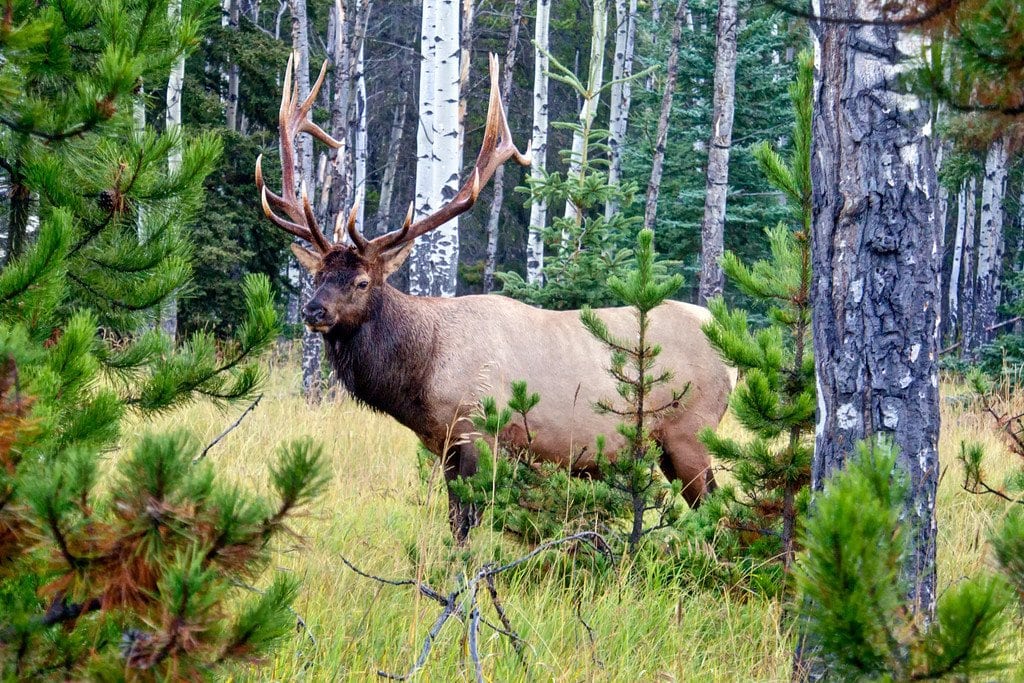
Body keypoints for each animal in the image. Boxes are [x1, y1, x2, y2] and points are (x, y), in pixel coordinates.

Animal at [256, 53, 737, 540]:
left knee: (721, 512)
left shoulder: (479, 430)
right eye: (317, 274)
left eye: (361, 282)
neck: (422, 374)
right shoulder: (444, 444)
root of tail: (731, 349)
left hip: (689, 430)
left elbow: (467, 525)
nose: (313, 310)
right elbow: (455, 522)